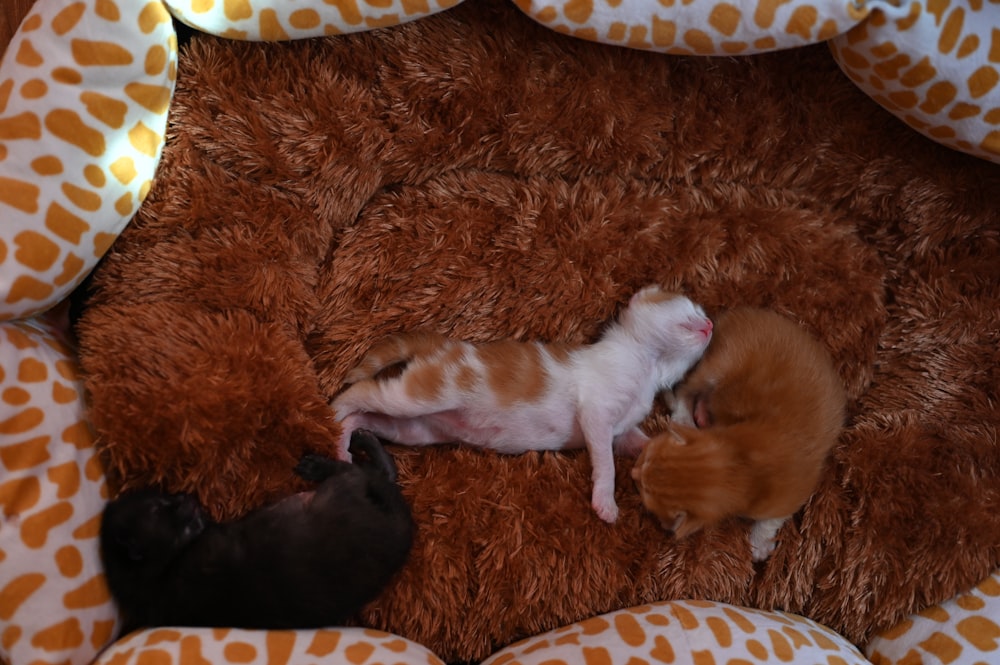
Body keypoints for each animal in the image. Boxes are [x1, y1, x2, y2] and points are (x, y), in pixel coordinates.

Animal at [99, 428, 412, 632]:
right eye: (160, 508)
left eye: (162, 498)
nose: (187, 498)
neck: (156, 574)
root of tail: (401, 532)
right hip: (340, 494)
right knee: (368, 474)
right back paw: (334, 457)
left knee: (380, 474)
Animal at [332, 286, 716, 524]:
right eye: (691, 309)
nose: (711, 324)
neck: (648, 364)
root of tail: (439, 345)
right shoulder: (597, 412)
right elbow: (606, 462)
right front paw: (606, 501)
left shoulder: (622, 432)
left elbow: (639, 443)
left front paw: (673, 454)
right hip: (421, 394)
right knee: (362, 390)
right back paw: (332, 413)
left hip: (415, 428)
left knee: (368, 415)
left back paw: (343, 443)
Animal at [632, 308, 844, 560]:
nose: (633, 472)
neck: (743, 463)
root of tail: (740, 313)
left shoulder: (793, 492)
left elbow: (771, 520)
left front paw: (760, 542)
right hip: (720, 363)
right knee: (686, 388)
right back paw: (685, 416)